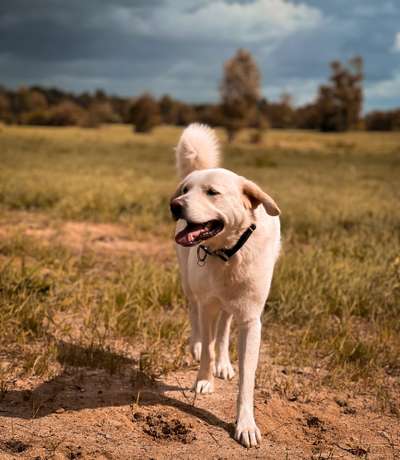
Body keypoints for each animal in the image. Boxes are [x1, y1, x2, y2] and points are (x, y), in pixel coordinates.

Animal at [170, 124, 282, 448]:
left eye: (212, 193)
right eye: (186, 190)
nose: (174, 206)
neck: (229, 253)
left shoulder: (251, 320)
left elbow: (247, 378)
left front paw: (245, 424)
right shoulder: (207, 304)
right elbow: (206, 346)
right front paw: (203, 381)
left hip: (233, 305)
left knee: (223, 328)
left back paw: (224, 363)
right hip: (189, 284)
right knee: (195, 314)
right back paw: (196, 346)